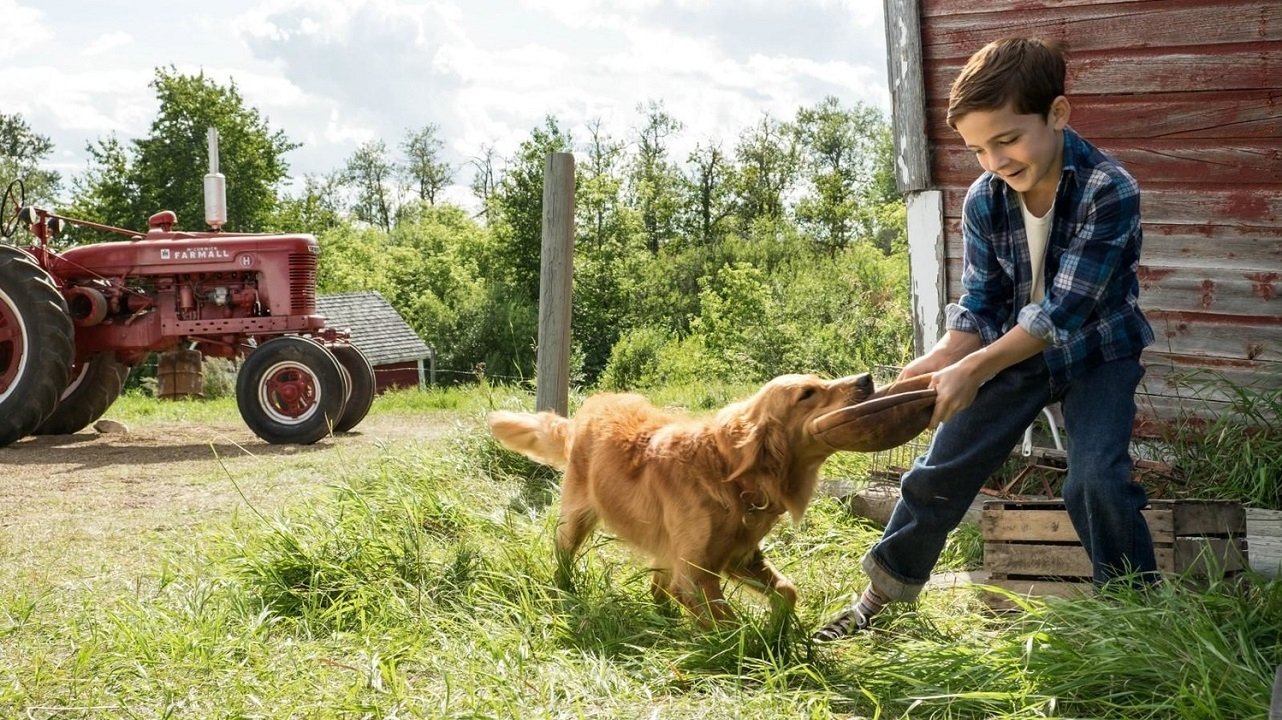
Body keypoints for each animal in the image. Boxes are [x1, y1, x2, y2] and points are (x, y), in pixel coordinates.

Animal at [484, 371, 876, 620]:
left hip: (667, 546)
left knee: (657, 587)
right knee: (565, 557)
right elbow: (730, 624)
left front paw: (780, 633)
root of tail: (588, 409)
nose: (867, 379)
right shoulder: (696, 575)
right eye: (808, 393)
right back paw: (565, 589)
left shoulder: (739, 557)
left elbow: (787, 590)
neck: (730, 477)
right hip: (576, 521)